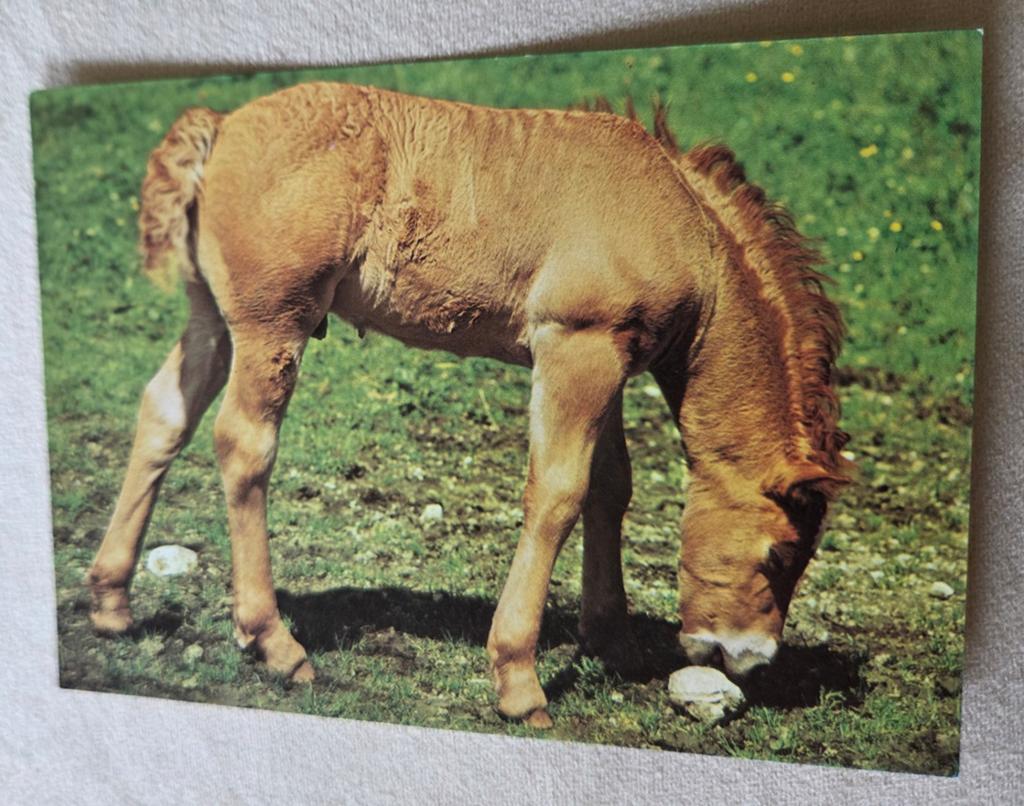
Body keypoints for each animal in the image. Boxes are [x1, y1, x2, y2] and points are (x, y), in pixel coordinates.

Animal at [85, 82, 850, 728]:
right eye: (783, 552)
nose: (746, 656)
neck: (684, 225)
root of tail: (222, 126)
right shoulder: (577, 347)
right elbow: (559, 494)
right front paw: (519, 680)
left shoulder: (607, 358)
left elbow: (610, 488)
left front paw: (611, 639)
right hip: (273, 323)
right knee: (244, 445)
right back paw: (274, 642)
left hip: (213, 317)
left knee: (163, 413)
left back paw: (112, 601)